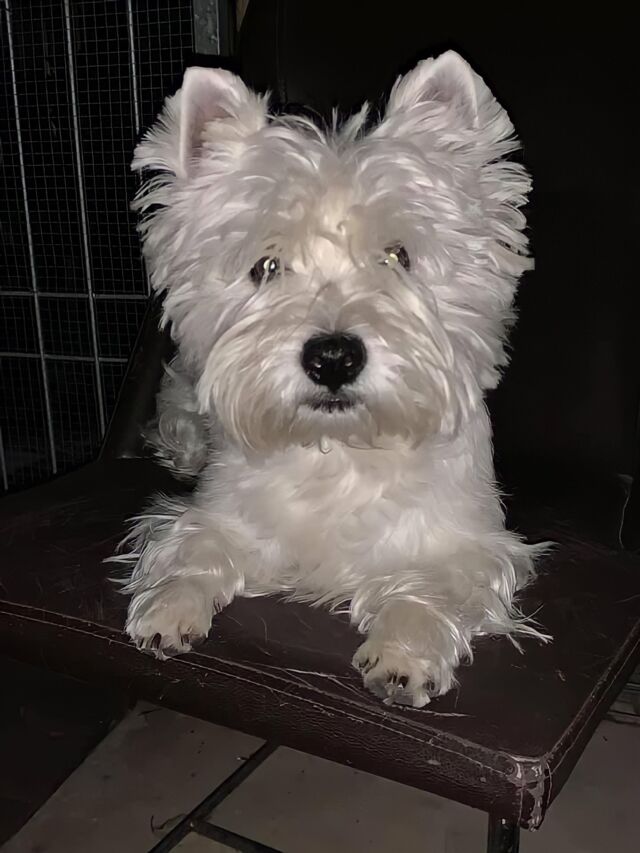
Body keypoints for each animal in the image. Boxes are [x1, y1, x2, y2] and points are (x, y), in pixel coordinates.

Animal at [113, 51, 548, 708]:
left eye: (398, 255)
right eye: (265, 266)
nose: (333, 357)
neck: (338, 449)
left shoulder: (471, 543)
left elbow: (431, 587)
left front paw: (403, 657)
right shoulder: (219, 511)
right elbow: (194, 546)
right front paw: (168, 610)